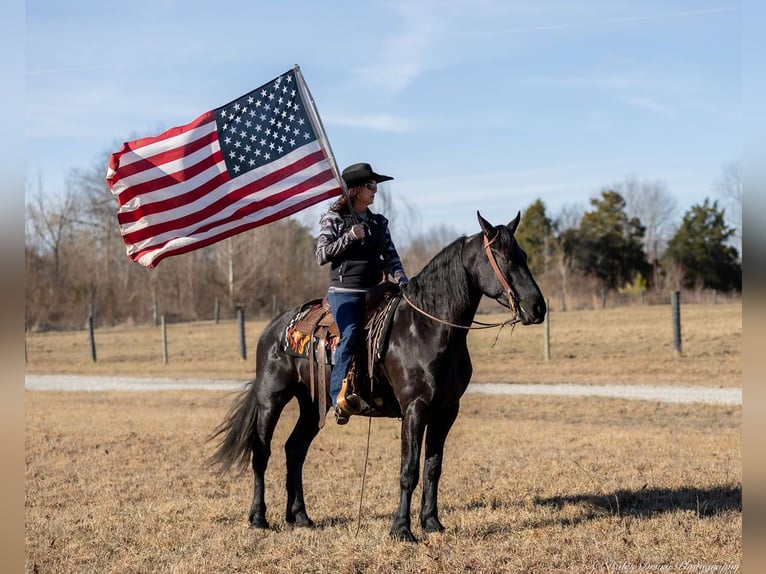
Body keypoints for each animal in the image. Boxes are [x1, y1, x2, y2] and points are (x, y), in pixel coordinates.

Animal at [208, 213, 544, 544]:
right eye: (502, 256)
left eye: (524, 255)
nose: (537, 307)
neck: (428, 328)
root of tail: (274, 328)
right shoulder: (415, 408)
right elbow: (409, 468)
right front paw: (402, 530)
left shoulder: (447, 410)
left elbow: (433, 467)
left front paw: (432, 523)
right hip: (271, 397)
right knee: (261, 452)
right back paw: (258, 518)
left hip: (312, 405)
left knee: (294, 450)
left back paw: (301, 517)